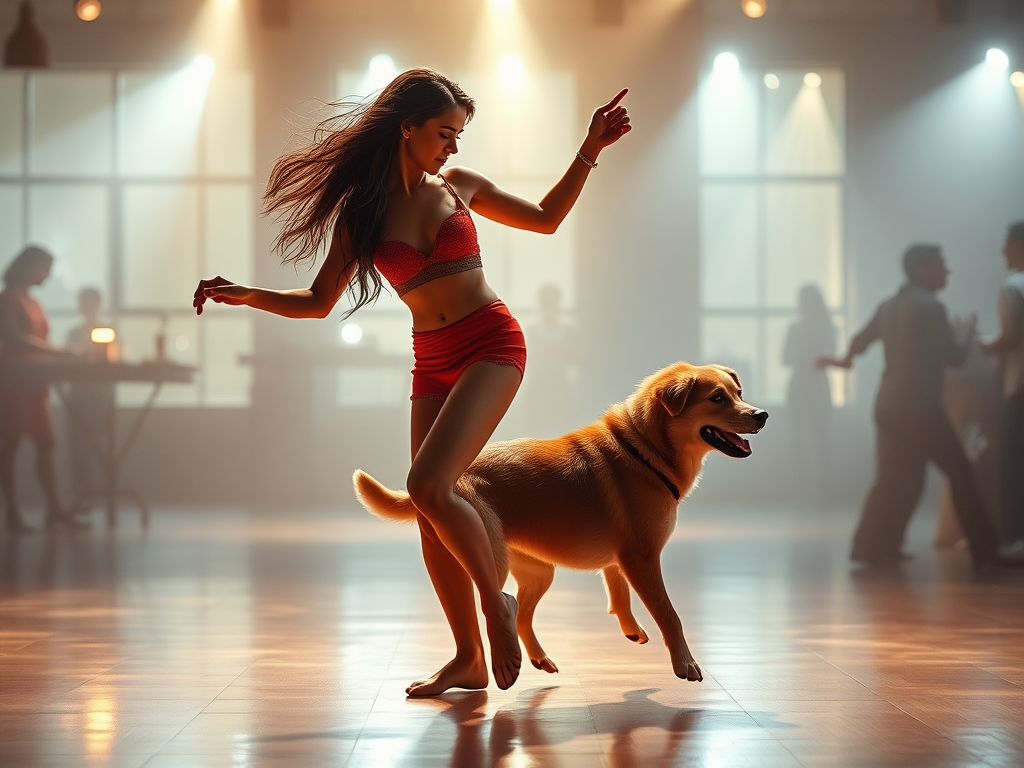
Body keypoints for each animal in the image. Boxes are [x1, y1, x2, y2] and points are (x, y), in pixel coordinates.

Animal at [352, 364, 761, 684]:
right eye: (717, 398)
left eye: (739, 393)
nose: (762, 415)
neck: (644, 449)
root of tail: (445, 477)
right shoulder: (642, 558)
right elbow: (668, 613)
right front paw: (685, 664)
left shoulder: (624, 560)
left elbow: (618, 591)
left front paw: (629, 627)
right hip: (493, 559)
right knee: (493, 601)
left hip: (539, 572)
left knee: (519, 613)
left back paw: (535, 657)